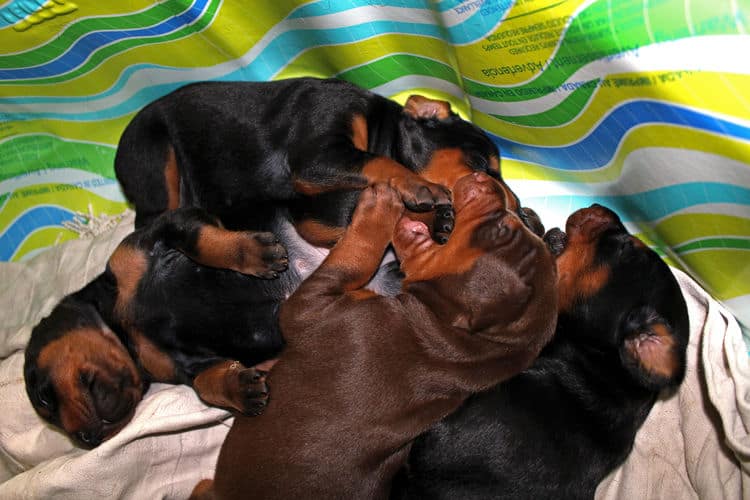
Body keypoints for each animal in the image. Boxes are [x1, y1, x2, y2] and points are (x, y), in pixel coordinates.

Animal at [191, 171, 560, 500]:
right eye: (512, 224)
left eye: (498, 230)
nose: (488, 179)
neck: (456, 343)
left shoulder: (308, 305)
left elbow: (356, 255)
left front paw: (379, 205)